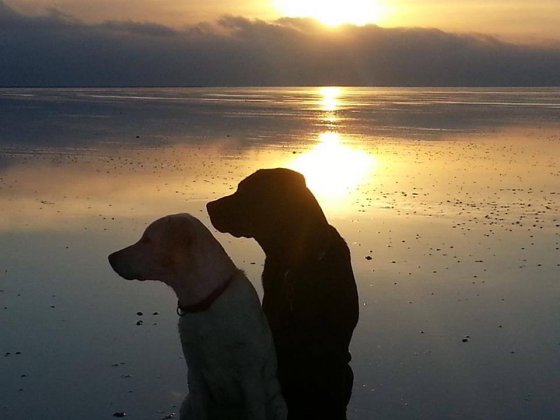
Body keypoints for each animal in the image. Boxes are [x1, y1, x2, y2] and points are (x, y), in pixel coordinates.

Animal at [107, 213, 286, 420]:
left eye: (147, 239)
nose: (110, 257)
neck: (205, 304)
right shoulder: (194, 374)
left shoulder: (250, 375)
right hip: (187, 404)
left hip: (278, 405)